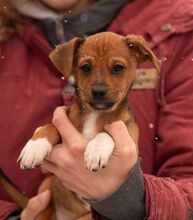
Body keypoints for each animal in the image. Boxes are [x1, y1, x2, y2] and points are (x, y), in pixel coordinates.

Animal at [17, 31, 160, 219]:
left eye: (118, 68)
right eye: (85, 67)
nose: (98, 91)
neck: (95, 114)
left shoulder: (131, 139)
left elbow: (107, 132)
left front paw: (96, 150)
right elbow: (50, 126)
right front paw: (34, 148)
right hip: (46, 188)